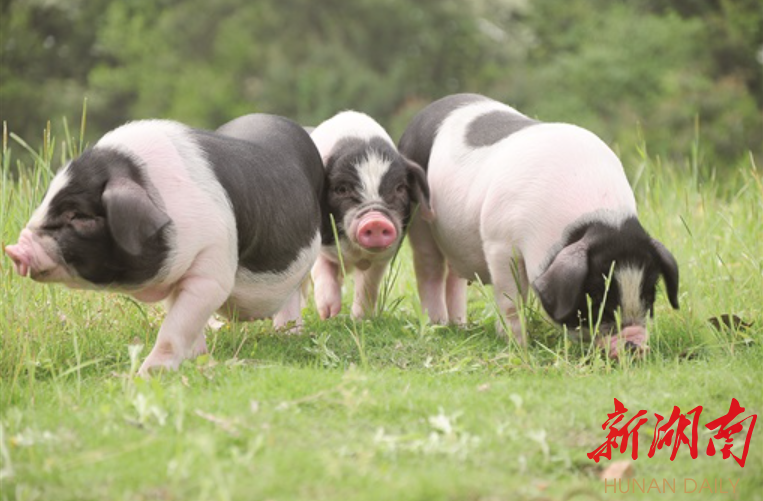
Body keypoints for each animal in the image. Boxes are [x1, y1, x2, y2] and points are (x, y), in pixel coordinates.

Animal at [5, 114, 324, 374]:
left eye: (79, 216)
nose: (13, 249)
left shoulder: (210, 267)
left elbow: (175, 327)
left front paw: (147, 374)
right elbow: (186, 324)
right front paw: (197, 358)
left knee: (296, 294)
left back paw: (290, 334)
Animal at [309, 111, 431, 319]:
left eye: (400, 188)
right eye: (341, 189)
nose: (375, 221)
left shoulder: (383, 257)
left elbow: (368, 284)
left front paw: (360, 319)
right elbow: (322, 267)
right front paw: (328, 313)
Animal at [397, 94, 679, 358]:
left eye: (650, 293)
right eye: (596, 297)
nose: (633, 345)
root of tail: (422, 114)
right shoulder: (499, 242)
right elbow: (512, 299)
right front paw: (519, 346)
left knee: (453, 278)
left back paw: (460, 326)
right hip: (420, 218)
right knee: (429, 269)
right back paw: (437, 325)